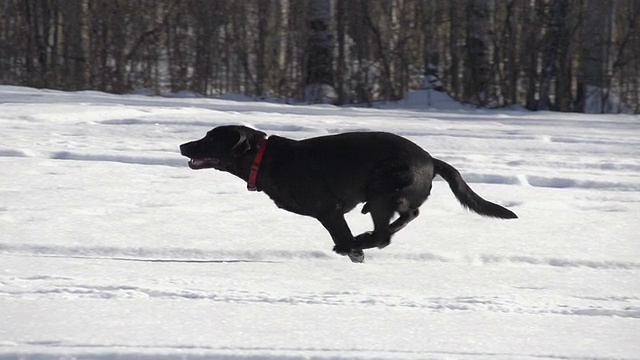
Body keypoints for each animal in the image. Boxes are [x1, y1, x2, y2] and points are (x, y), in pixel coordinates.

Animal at [179, 125, 516, 262]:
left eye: (210, 139)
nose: (183, 146)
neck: (263, 159)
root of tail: (431, 160)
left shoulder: (329, 210)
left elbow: (340, 233)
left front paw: (351, 249)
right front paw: (354, 249)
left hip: (383, 191)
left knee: (391, 227)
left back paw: (360, 241)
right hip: (386, 195)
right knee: (398, 223)